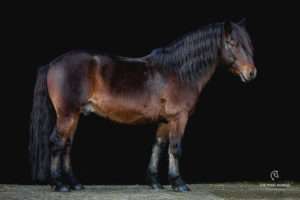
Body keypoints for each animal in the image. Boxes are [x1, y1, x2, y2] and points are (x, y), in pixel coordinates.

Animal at [29, 19, 256, 192]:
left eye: (249, 43)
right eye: (232, 42)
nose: (251, 72)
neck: (179, 72)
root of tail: (53, 63)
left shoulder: (165, 120)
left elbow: (159, 146)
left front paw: (155, 182)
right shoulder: (179, 118)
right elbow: (175, 148)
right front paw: (178, 183)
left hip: (74, 115)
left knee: (66, 145)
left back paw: (74, 183)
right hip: (67, 114)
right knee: (56, 143)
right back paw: (59, 184)